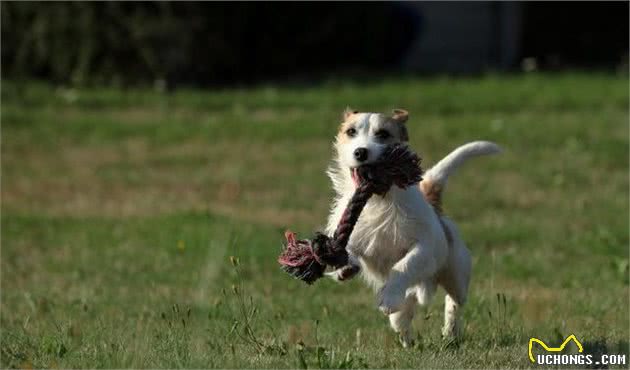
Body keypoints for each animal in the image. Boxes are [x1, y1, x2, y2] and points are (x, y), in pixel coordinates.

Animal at [326, 108, 498, 346]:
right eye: (351, 132)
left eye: (383, 134)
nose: (361, 152)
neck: (379, 199)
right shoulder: (353, 236)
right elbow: (347, 249)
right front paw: (345, 267)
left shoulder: (423, 247)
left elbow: (404, 265)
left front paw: (389, 297)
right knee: (403, 318)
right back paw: (408, 340)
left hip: (457, 276)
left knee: (454, 301)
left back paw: (450, 332)